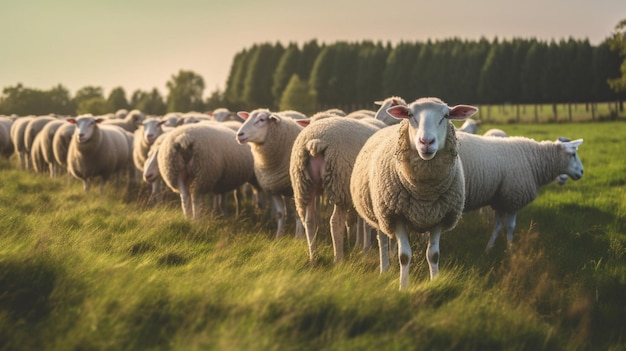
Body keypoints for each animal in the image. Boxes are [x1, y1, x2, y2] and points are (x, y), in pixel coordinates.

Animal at [235, 108, 308, 239]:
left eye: (261, 119)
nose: (239, 135)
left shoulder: (296, 189)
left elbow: (297, 213)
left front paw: (298, 238)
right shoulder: (273, 188)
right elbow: (280, 214)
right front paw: (278, 237)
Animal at [288, 115, 386, 264]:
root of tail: (316, 142)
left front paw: (360, 244)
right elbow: (365, 223)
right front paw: (365, 248)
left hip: (304, 185)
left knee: (310, 221)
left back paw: (314, 257)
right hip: (340, 183)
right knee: (335, 222)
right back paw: (338, 259)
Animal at [348, 97, 476, 290]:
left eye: (445, 116)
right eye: (410, 115)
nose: (426, 142)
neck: (424, 194)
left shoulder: (439, 218)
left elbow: (433, 255)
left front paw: (435, 281)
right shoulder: (396, 216)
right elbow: (404, 256)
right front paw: (403, 287)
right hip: (381, 213)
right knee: (383, 240)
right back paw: (385, 268)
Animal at [450, 132, 584, 253]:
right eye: (573, 154)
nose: (582, 172)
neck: (534, 161)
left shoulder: (501, 201)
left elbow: (498, 227)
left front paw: (488, 251)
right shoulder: (513, 198)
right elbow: (510, 227)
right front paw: (510, 252)